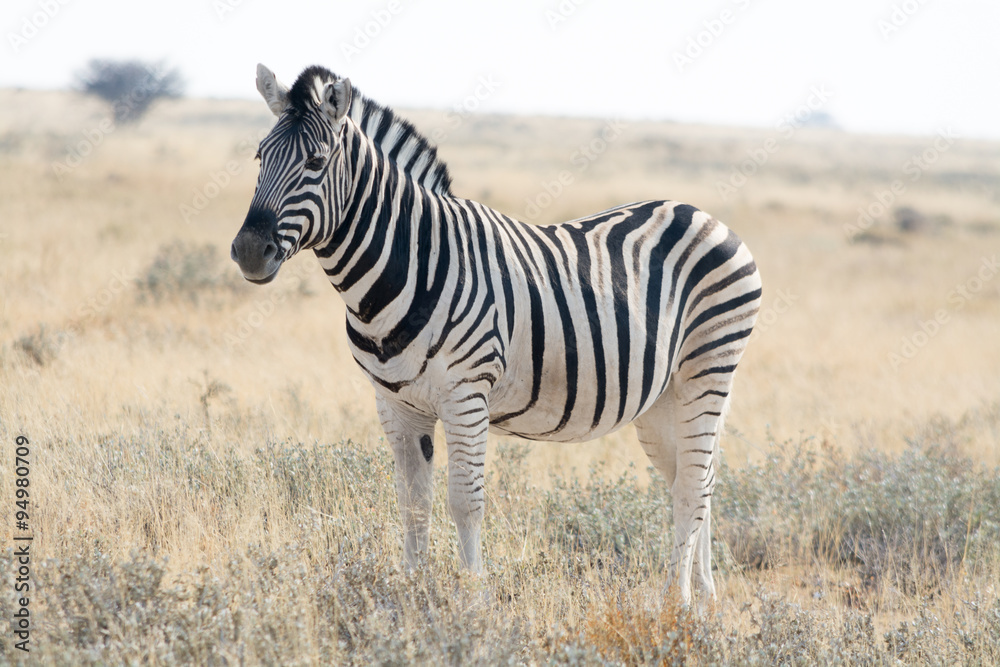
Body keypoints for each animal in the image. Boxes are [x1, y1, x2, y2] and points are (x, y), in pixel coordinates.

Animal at [230, 64, 762, 604]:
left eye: (316, 162)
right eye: (259, 157)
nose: (249, 251)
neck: (404, 269)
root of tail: (702, 213)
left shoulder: (466, 394)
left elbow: (465, 501)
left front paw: (472, 598)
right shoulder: (395, 403)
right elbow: (412, 502)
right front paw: (411, 594)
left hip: (707, 369)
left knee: (692, 486)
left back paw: (674, 603)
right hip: (662, 399)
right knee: (695, 478)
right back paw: (704, 598)